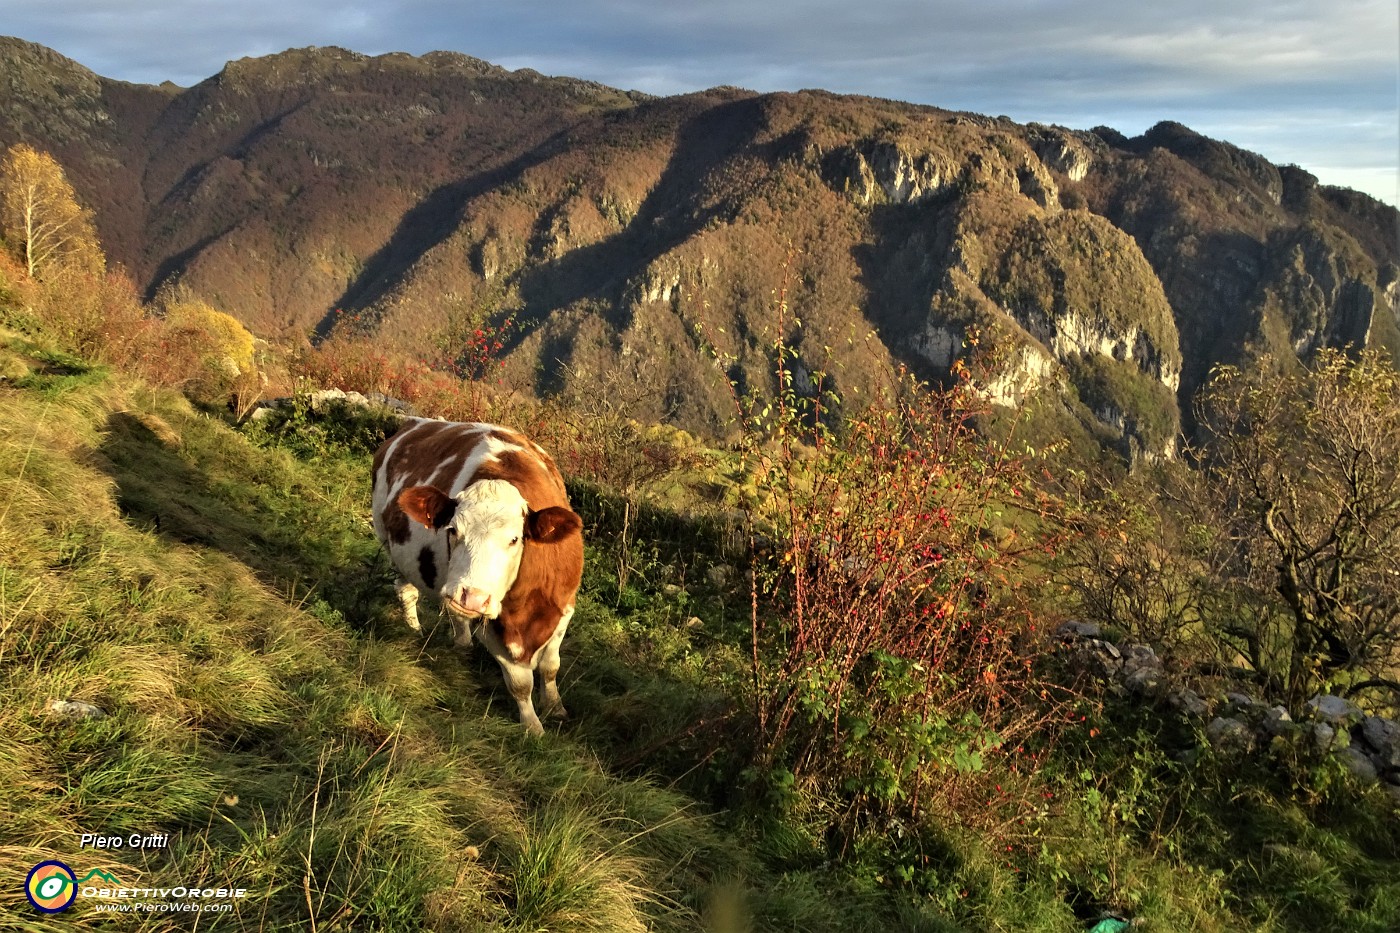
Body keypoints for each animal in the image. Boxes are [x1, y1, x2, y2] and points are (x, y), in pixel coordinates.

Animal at [369, 414, 582, 734]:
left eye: (515, 539)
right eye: (453, 530)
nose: (472, 597)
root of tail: (415, 422)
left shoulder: (564, 608)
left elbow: (550, 666)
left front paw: (556, 708)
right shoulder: (490, 626)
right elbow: (520, 683)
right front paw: (532, 727)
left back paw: (460, 640)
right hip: (389, 541)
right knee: (407, 590)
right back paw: (415, 628)